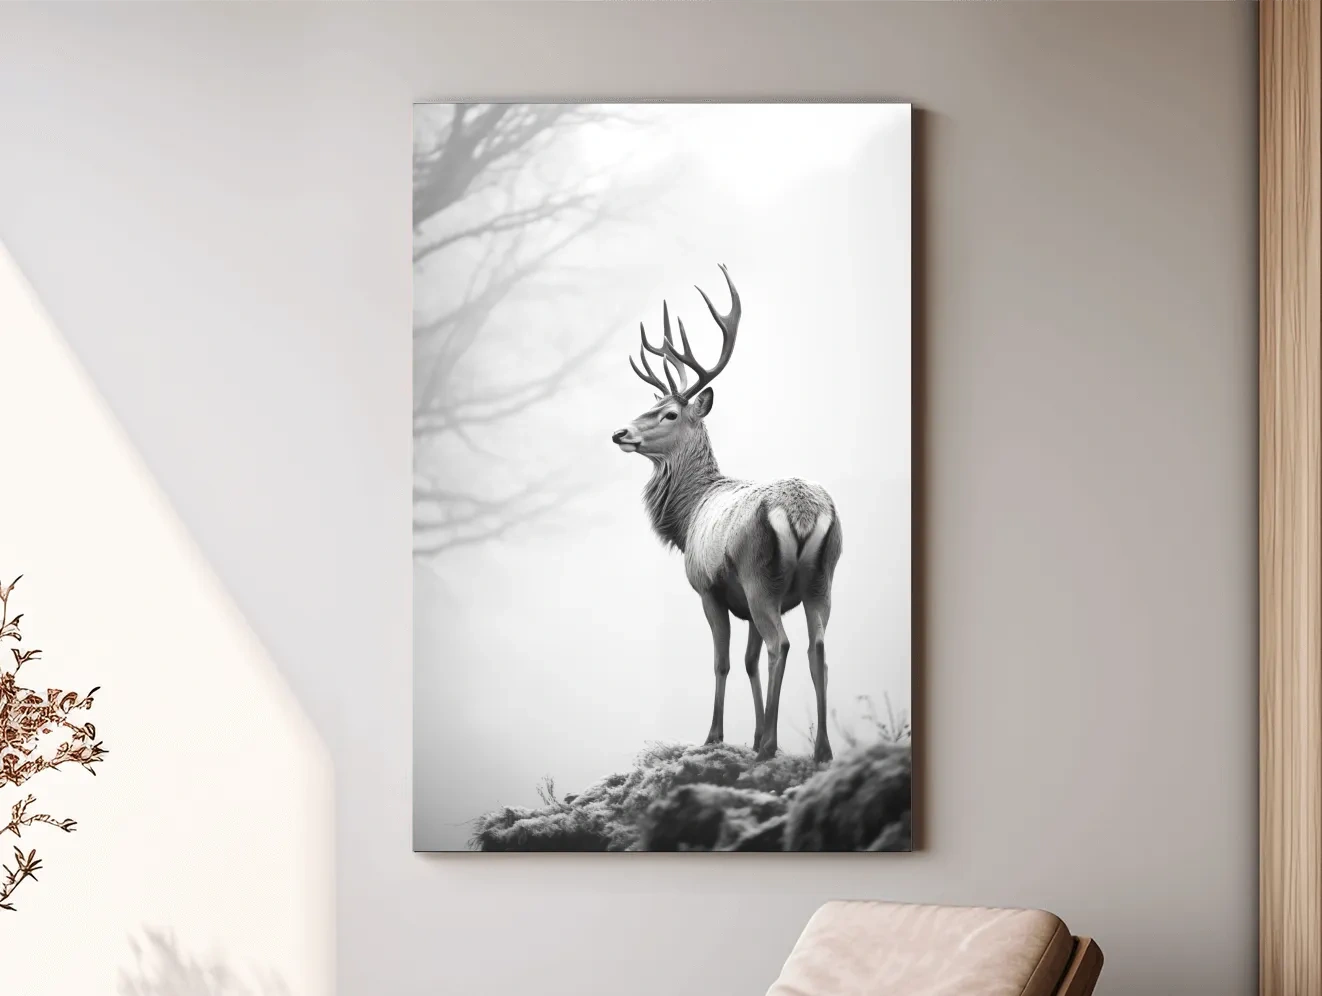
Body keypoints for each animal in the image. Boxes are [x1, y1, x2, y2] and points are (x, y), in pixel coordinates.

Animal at [611, 265, 842, 764]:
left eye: (669, 413)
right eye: (650, 405)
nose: (619, 432)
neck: (688, 516)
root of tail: (802, 512)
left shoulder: (709, 587)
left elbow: (724, 662)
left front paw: (716, 736)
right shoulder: (745, 603)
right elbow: (750, 661)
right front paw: (751, 734)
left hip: (759, 574)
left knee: (782, 643)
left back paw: (771, 746)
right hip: (822, 578)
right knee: (816, 647)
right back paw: (821, 751)